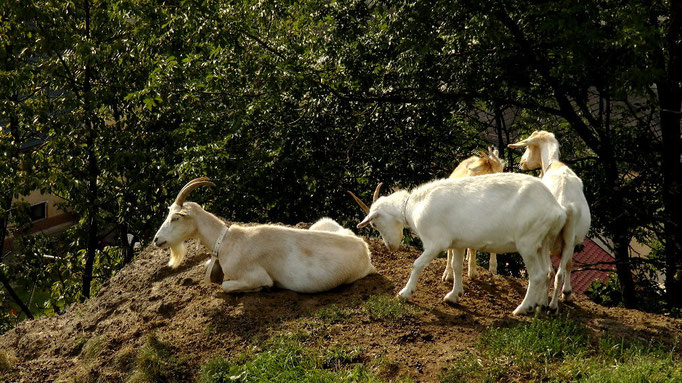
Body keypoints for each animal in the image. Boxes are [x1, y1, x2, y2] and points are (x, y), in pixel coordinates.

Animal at [154, 178, 374, 294]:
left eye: (175, 217)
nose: (156, 240)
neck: (227, 241)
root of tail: (364, 248)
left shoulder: (256, 276)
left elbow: (226, 285)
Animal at [348, 176, 564, 316]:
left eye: (374, 224)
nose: (390, 247)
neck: (413, 206)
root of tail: (556, 208)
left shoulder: (436, 242)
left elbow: (417, 264)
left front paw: (404, 293)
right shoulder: (458, 243)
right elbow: (456, 266)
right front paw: (454, 295)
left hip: (527, 242)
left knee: (537, 275)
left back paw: (522, 308)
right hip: (542, 243)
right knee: (547, 272)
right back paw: (540, 306)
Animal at [508, 131, 588, 312]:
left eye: (528, 147)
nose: (521, 163)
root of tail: (565, 204)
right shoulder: (572, 241)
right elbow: (569, 264)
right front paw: (567, 293)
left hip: (546, 240)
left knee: (549, 272)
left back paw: (542, 303)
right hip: (568, 237)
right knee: (558, 272)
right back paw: (552, 306)